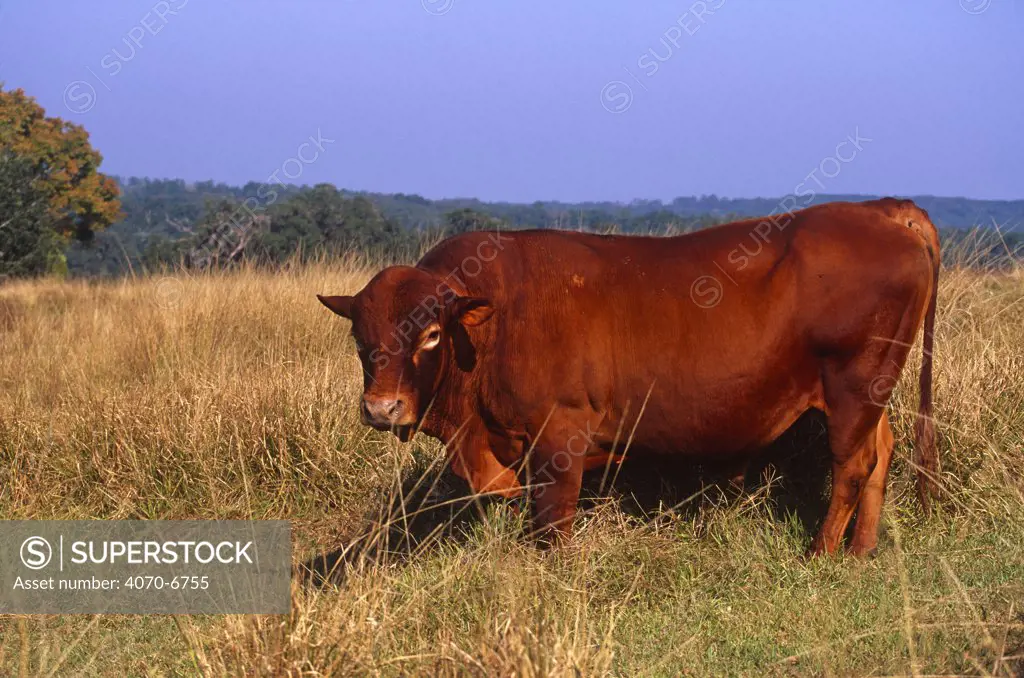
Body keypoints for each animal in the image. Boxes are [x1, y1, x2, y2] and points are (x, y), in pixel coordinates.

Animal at [315, 197, 937, 557]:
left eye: (430, 335)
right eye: (360, 339)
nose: (382, 408)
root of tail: (881, 208)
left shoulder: (558, 438)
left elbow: (553, 524)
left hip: (852, 388)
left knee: (853, 465)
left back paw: (823, 553)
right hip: (871, 394)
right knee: (882, 451)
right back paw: (860, 553)